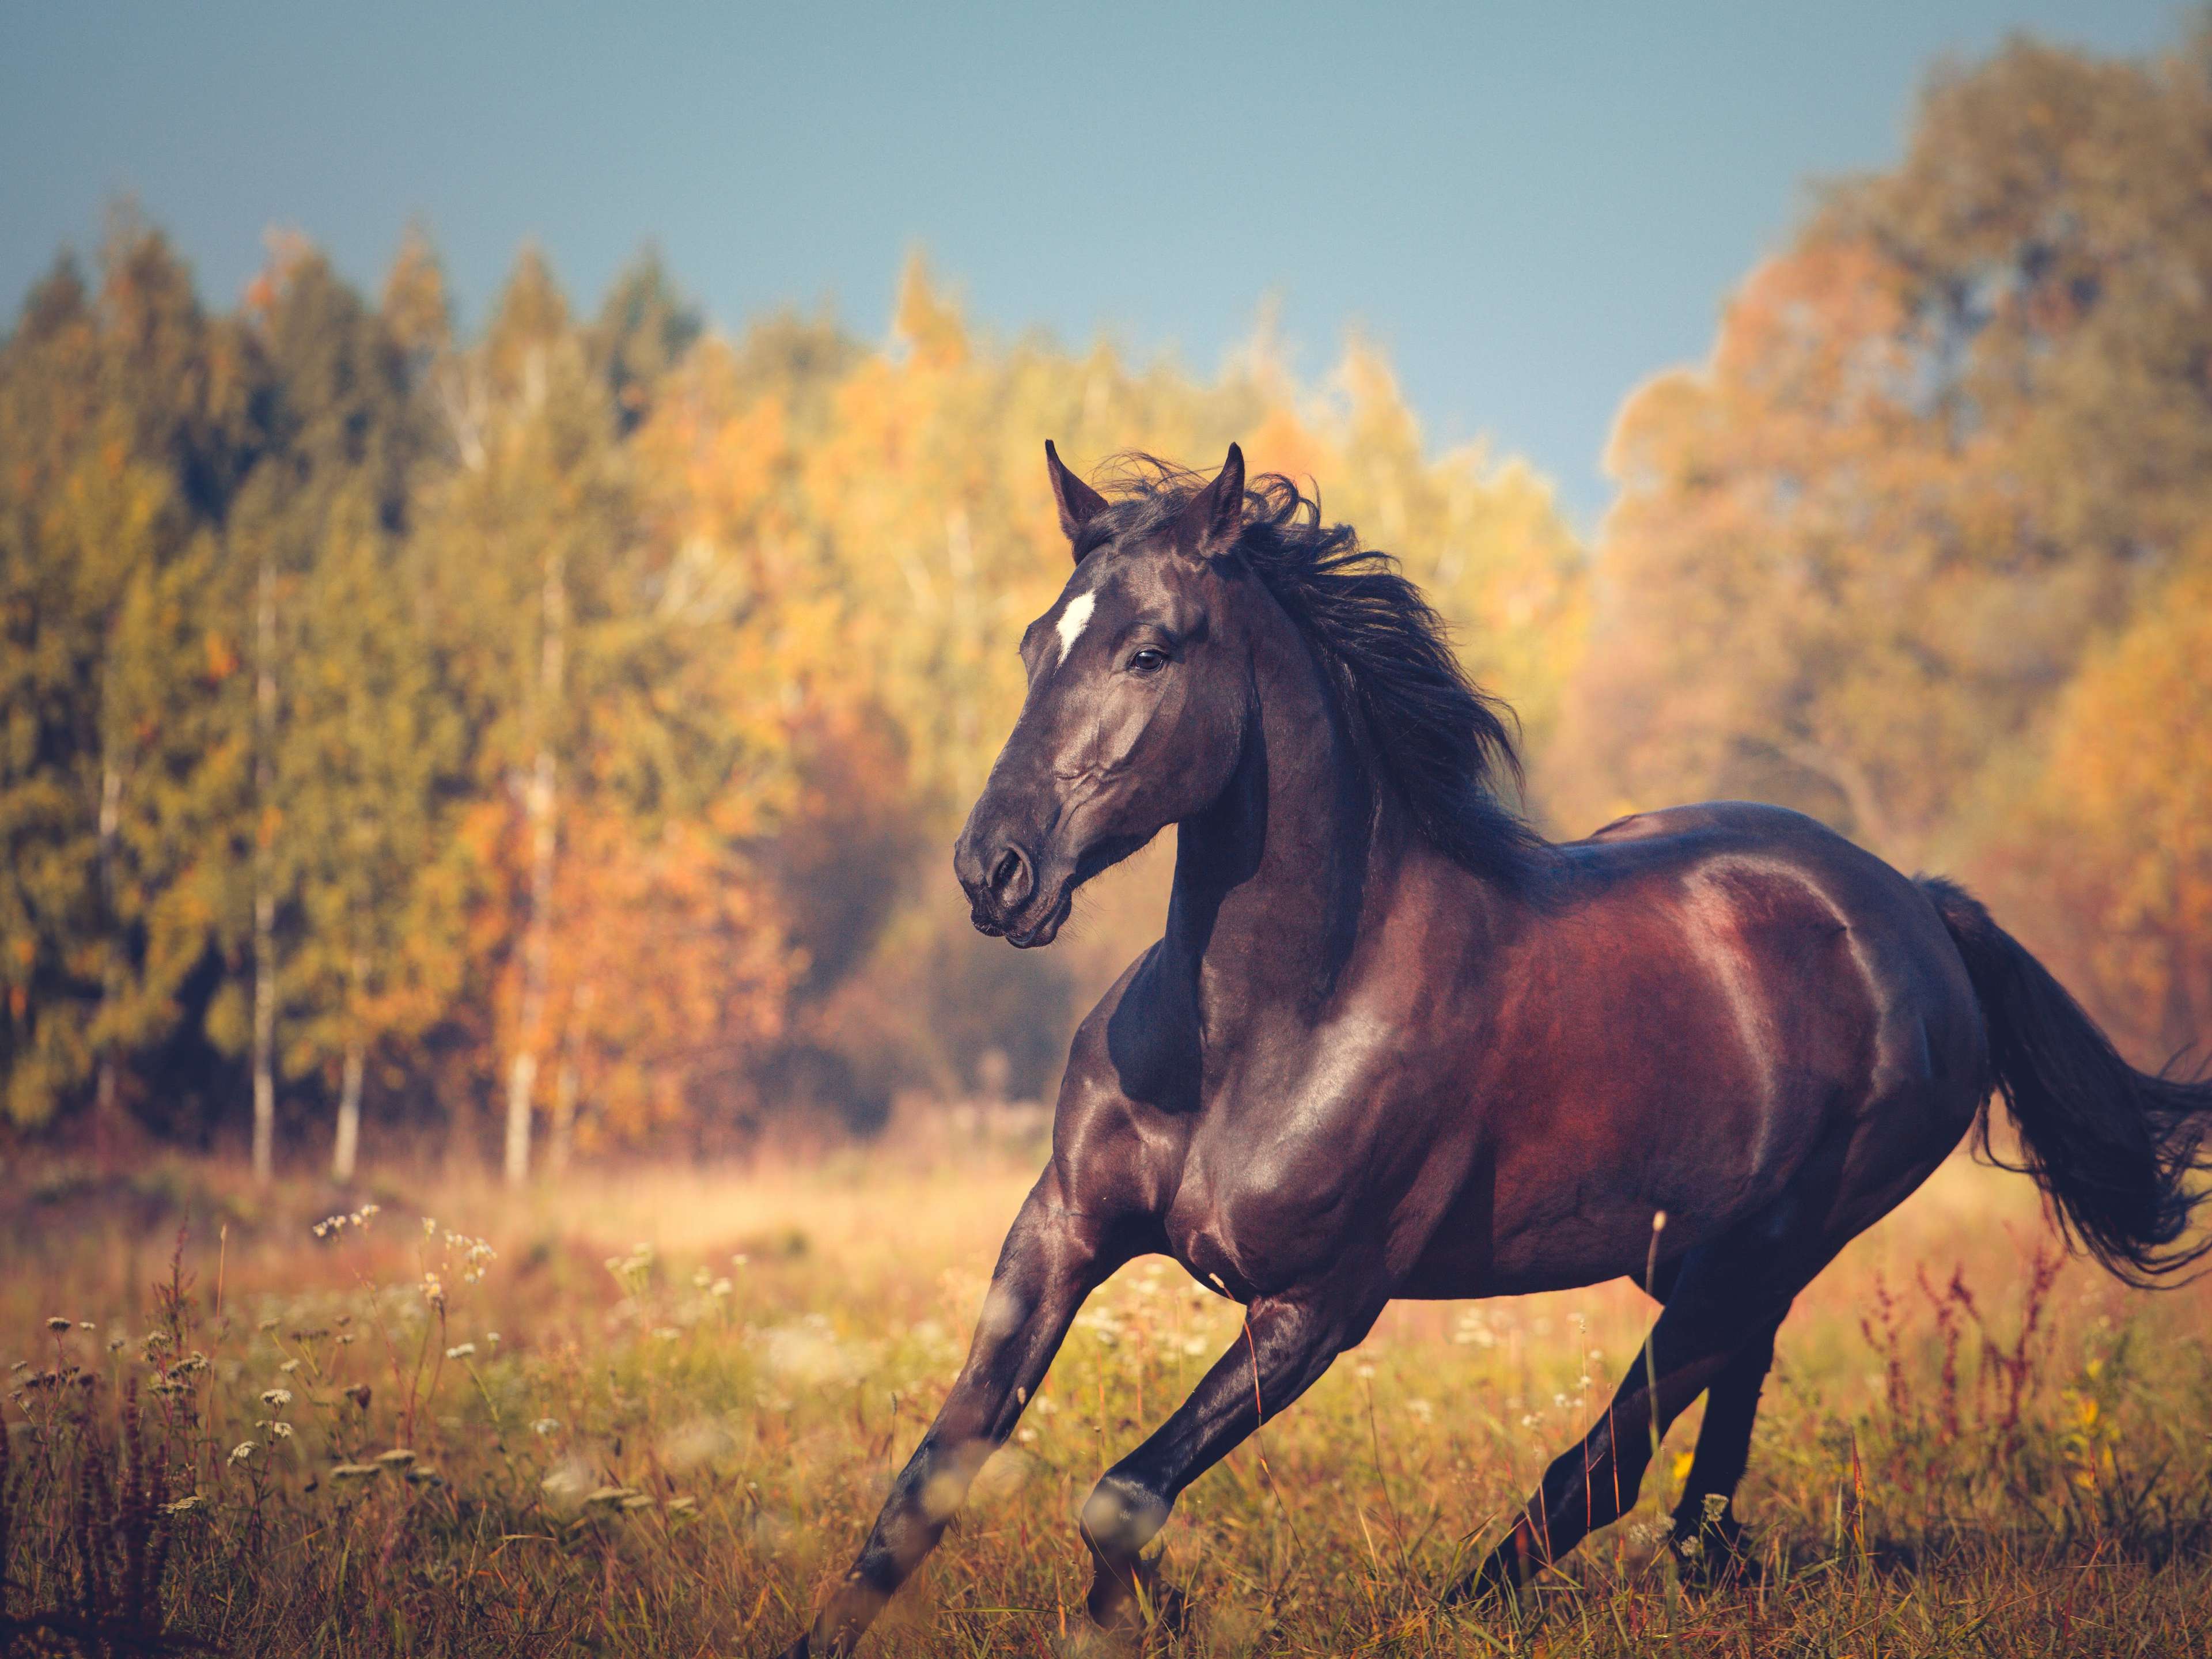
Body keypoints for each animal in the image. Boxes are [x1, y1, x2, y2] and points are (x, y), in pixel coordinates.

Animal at [775, 444, 2212, 1656]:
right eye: (1036, 643)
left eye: (1150, 650)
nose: (995, 870)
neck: (1259, 1030)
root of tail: (1915, 905)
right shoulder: (1060, 1232)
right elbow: (929, 1480)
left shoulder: (1320, 1304)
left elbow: (1122, 1497)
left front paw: (1139, 1621)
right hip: (1699, 1252)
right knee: (1711, 1421)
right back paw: (1703, 1569)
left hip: (1773, 1241)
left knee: (1613, 1455)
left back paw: (1468, 1611)